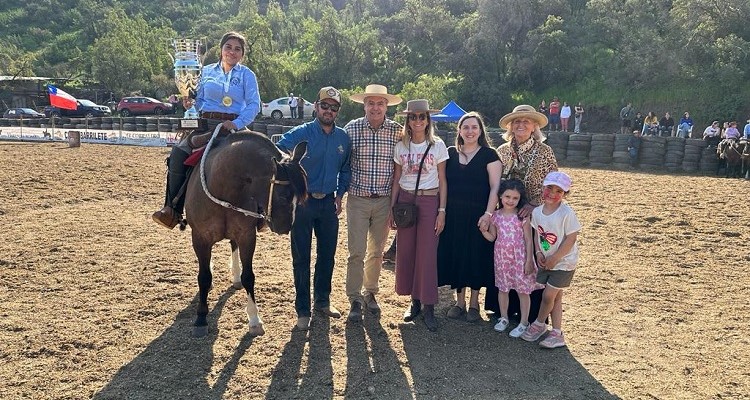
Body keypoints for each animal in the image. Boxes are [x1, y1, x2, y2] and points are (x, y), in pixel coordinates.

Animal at [186, 131, 308, 338]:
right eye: (283, 195)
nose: (285, 227)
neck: (223, 186)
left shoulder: (246, 236)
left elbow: (249, 276)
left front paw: (254, 320)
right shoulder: (200, 238)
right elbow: (203, 277)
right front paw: (201, 319)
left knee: (233, 246)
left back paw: (235, 277)